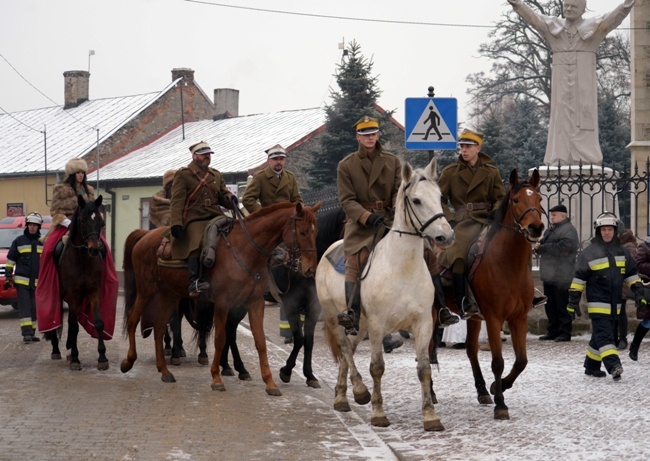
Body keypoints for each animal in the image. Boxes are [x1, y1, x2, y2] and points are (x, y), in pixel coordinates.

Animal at [119, 201, 318, 396]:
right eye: (302, 232)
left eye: (314, 232)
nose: (310, 268)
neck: (245, 250)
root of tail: (145, 235)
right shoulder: (223, 303)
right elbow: (220, 339)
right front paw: (216, 378)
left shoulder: (254, 303)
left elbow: (260, 342)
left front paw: (270, 382)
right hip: (146, 291)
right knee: (133, 319)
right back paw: (128, 361)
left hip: (170, 295)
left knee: (160, 327)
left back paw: (165, 371)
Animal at [316, 159, 454, 432]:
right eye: (417, 200)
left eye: (440, 196)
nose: (446, 235)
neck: (402, 267)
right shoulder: (378, 326)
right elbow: (377, 368)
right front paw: (378, 413)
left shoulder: (424, 324)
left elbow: (424, 369)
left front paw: (430, 416)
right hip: (335, 317)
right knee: (345, 349)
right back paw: (359, 392)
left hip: (359, 325)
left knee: (348, 353)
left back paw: (341, 397)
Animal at [458, 170, 544, 420]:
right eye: (516, 200)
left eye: (539, 199)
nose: (536, 227)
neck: (509, 263)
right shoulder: (494, 318)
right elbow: (498, 362)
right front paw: (501, 404)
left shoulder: (518, 318)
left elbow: (521, 361)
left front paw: (498, 387)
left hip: (474, 318)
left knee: (471, 349)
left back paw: (481, 391)